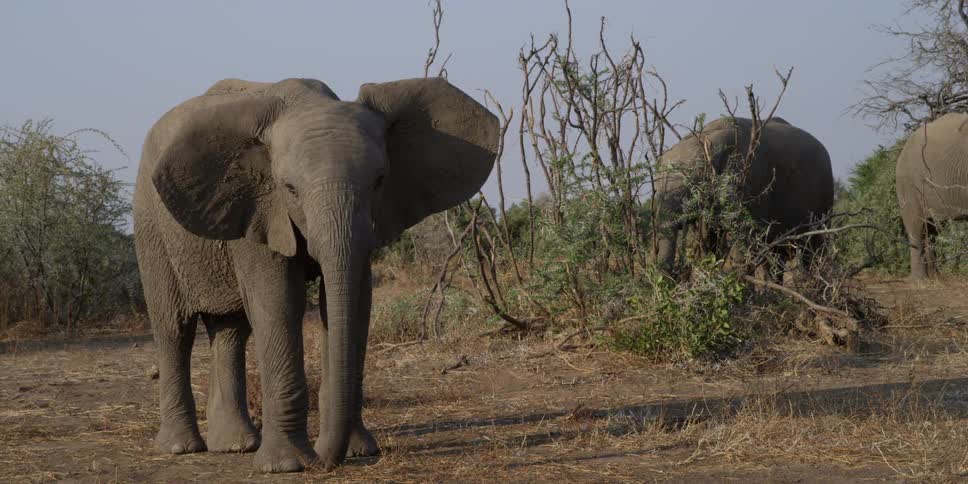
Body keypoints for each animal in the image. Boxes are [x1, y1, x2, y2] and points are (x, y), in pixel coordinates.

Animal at [133, 77, 498, 472]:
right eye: (289, 188)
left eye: (380, 181)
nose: (323, 462)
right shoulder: (261, 210)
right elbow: (277, 303)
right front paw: (285, 467)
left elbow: (355, 302)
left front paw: (358, 452)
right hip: (150, 225)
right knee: (174, 328)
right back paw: (181, 448)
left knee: (231, 330)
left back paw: (234, 445)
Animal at [652, 116, 834, 275]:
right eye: (656, 187)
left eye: (691, 187)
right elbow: (712, 240)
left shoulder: (751, 182)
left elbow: (745, 238)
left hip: (825, 197)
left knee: (814, 247)